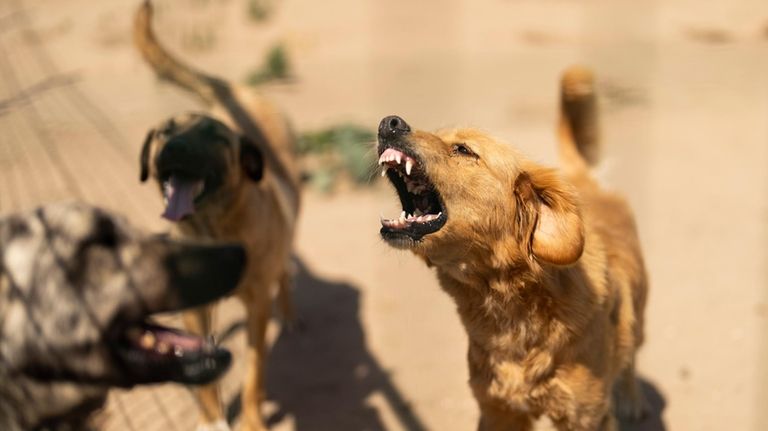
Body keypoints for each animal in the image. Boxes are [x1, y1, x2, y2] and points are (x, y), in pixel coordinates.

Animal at [132, 1, 300, 430]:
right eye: (164, 132)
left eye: (214, 137)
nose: (174, 148)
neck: (212, 229)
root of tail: (238, 92)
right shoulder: (194, 310)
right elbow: (205, 372)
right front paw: (211, 420)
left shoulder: (257, 307)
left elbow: (255, 372)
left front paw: (253, 420)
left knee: (284, 271)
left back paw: (289, 314)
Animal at [376, 66, 648, 430]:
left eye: (463, 149)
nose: (389, 123)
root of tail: (581, 180)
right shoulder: (497, 410)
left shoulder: (585, 417)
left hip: (639, 314)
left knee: (631, 354)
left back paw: (633, 399)